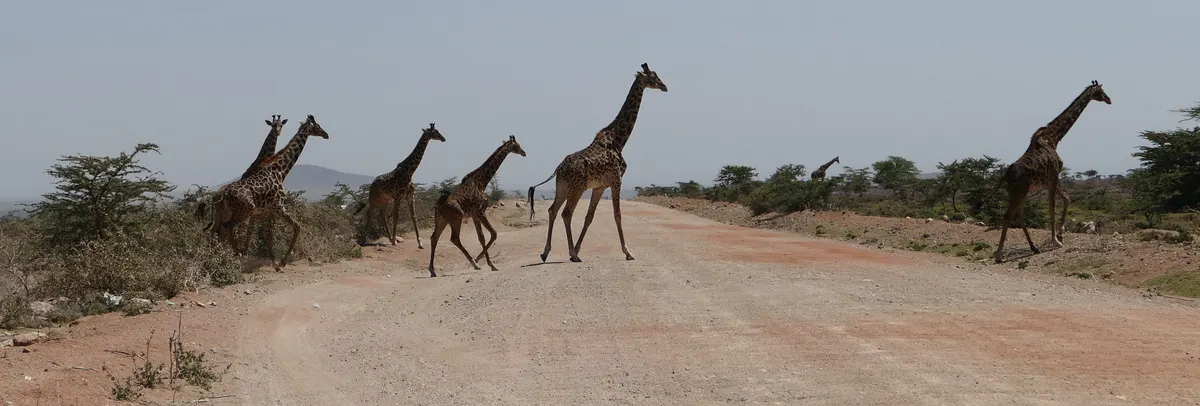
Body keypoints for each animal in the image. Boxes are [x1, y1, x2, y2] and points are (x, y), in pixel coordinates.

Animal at [210, 114, 330, 269]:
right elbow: (297, 227)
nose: (326, 135)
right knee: (226, 228)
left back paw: (220, 256)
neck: (280, 170)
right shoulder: (278, 207)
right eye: (317, 126)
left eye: (281, 125)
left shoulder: (265, 211)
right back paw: (235, 256)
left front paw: (276, 265)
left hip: (233, 213)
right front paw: (283, 262)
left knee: (218, 230)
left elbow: (268, 236)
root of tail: (223, 195)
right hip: (244, 210)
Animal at [427, 135, 527, 277]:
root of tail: (439, 205)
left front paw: (488, 263)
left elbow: (481, 237)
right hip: (457, 217)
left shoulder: (474, 215)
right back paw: (474, 264)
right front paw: (485, 262)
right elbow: (493, 234)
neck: (482, 182)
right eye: (517, 146)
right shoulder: (480, 211)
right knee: (454, 238)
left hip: (441, 219)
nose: (524, 153)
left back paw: (432, 270)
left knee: (434, 237)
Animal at [527, 63, 668, 263]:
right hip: (576, 188)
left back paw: (546, 252)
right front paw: (628, 252)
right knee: (566, 213)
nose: (665, 86)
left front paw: (578, 249)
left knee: (552, 210)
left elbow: (589, 217)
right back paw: (571, 254)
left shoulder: (600, 186)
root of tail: (558, 169)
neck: (619, 140)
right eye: (653, 77)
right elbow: (617, 215)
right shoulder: (616, 180)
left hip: (562, 187)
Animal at [993, 80, 1111, 263]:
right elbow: (1052, 207)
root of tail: (1006, 175)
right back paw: (999, 255)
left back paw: (1034, 248)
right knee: (1009, 216)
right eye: (1101, 91)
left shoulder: (1049, 180)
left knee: (1019, 215)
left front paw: (1060, 235)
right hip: (1020, 190)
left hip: (1019, 192)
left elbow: (1066, 199)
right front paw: (1056, 241)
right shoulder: (1054, 175)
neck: (1054, 138)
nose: (1109, 100)